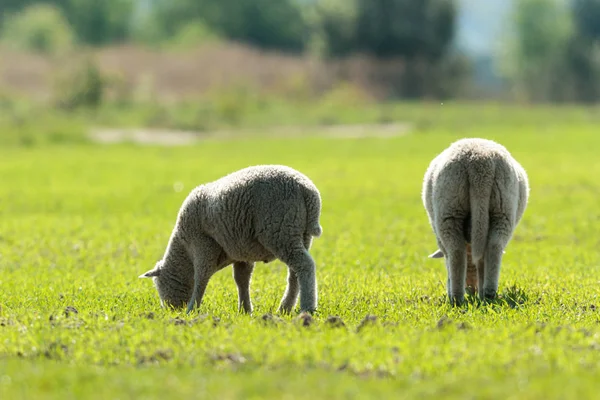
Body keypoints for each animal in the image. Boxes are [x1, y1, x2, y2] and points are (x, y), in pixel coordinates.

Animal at [139, 164, 324, 314]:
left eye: (158, 285)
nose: (170, 310)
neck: (184, 252)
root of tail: (306, 190)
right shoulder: (242, 253)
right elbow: (241, 280)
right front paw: (245, 310)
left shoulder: (203, 245)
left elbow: (201, 278)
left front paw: (192, 309)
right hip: (300, 234)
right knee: (294, 273)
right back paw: (285, 308)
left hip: (279, 229)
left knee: (305, 265)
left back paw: (307, 308)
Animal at [422, 139, 528, 304]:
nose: (471, 289)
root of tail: (480, 164)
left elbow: (449, 258)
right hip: (502, 209)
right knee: (493, 247)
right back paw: (488, 293)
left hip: (449, 210)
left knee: (456, 252)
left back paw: (456, 298)